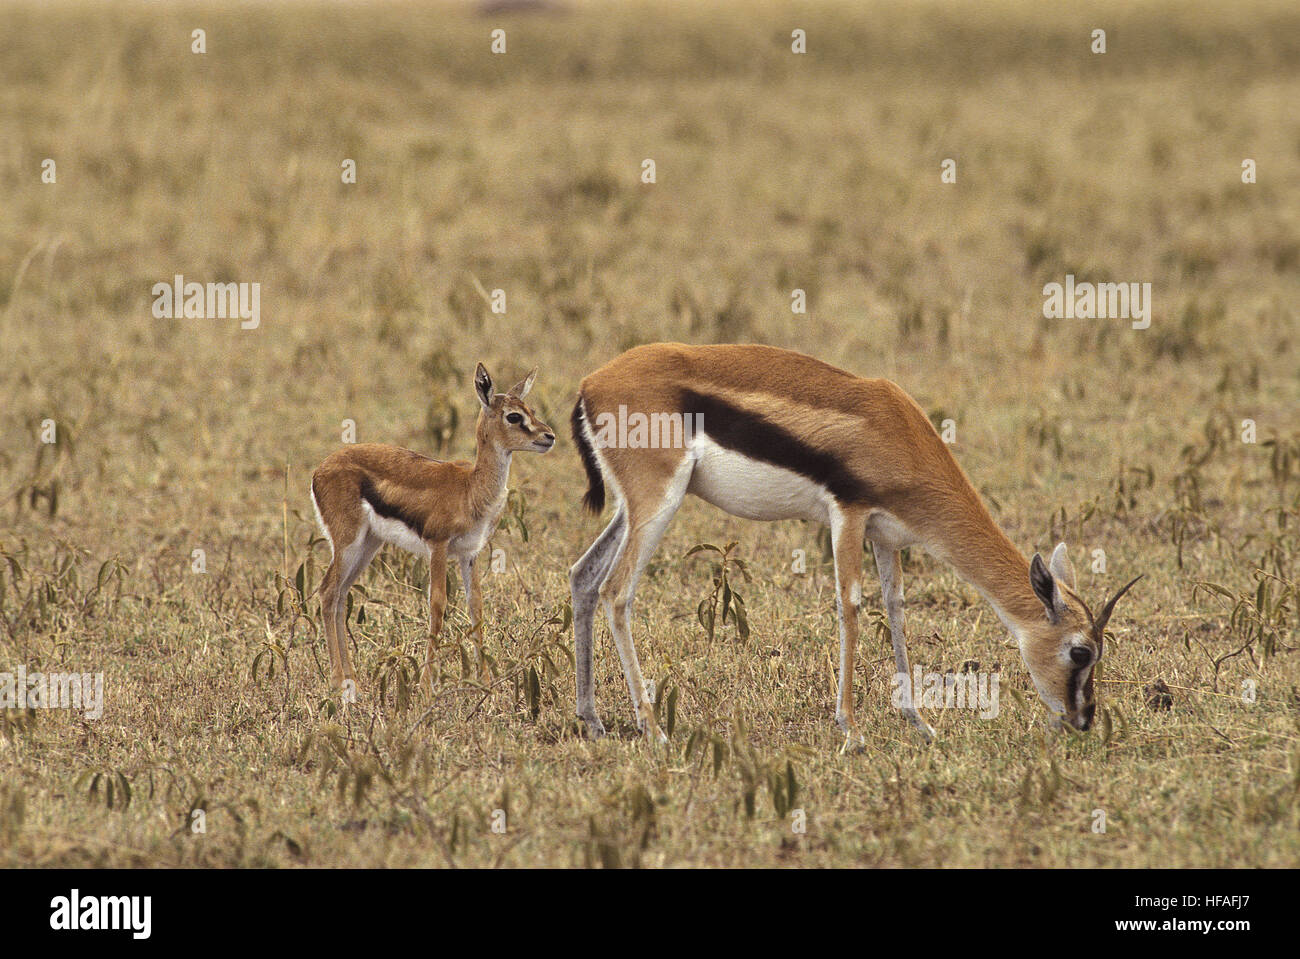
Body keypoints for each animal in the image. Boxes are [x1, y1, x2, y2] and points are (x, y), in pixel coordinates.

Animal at [311, 364, 555, 697]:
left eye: (531, 409)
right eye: (514, 416)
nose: (549, 436)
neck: (470, 487)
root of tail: (319, 470)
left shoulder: (469, 554)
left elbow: (476, 606)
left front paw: (485, 684)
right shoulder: (438, 547)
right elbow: (437, 606)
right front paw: (426, 687)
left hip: (367, 546)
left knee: (339, 596)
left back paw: (354, 684)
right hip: (347, 543)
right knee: (327, 593)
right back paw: (340, 684)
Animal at [568, 343, 1140, 745]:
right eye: (1080, 650)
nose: (1083, 720)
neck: (899, 432)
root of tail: (591, 383)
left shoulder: (885, 536)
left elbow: (896, 606)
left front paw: (919, 722)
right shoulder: (848, 515)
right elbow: (851, 607)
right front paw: (852, 730)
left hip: (632, 509)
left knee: (584, 577)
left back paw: (592, 720)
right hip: (659, 501)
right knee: (618, 592)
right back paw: (654, 730)